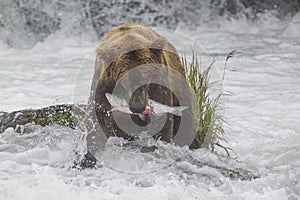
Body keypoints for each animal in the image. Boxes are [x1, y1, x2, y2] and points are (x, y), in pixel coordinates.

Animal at [81, 22, 200, 168]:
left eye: (144, 82)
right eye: (126, 83)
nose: (138, 107)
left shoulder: (159, 85)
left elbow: (162, 123)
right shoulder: (104, 83)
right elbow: (99, 118)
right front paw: (88, 158)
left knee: (186, 125)